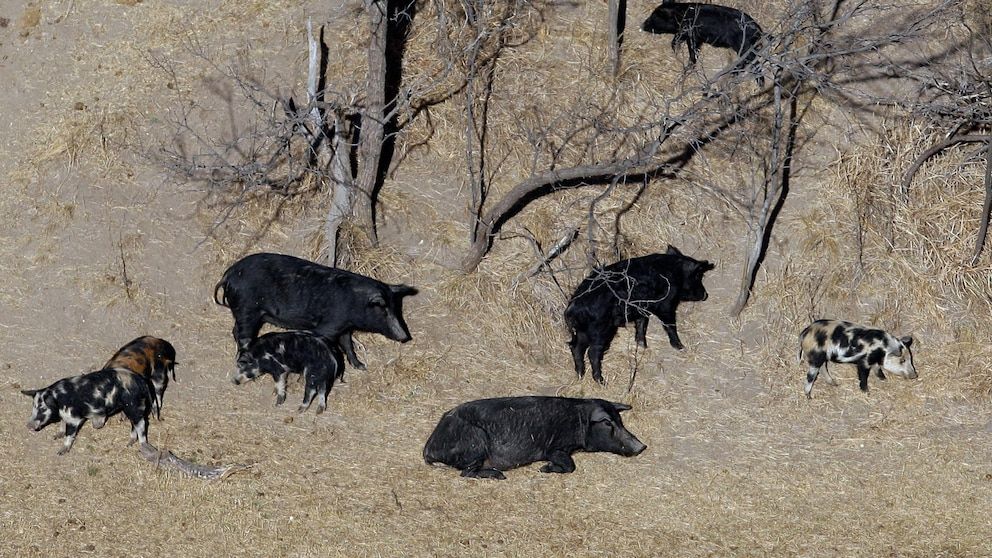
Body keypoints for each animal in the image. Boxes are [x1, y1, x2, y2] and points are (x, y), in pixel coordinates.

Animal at [20, 370, 153, 458]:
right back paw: (129, 444)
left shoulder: (74, 419)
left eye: (42, 408)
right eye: (33, 407)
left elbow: (69, 434)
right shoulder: (66, 416)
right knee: (135, 423)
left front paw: (61, 452)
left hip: (133, 405)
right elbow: (62, 424)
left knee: (141, 424)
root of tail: (141, 382)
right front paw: (57, 435)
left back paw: (142, 446)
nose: (28, 425)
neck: (59, 399)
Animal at [213, 254, 418, 372]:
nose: (405, 336)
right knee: (243, 336)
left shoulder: (344, 327)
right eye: (383, 310)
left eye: (396, 309)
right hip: (247, 310)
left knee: (235, 331)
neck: (354, 303)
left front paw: (361, 367)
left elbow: (348, 345)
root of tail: (228, 274)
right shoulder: (328, 326)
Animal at [422, 398, 648, 482]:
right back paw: (499, 475)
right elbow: (570, 465)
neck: (579, 421)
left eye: (620, 420)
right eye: (608, 423)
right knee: (466, 473)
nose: (642, 446)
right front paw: (544, 469)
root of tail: (428, 448)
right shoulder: (554, 447)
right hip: (476, 441)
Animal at [564, 246, 712, 384]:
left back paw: (580, 375)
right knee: (592, 352)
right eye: (698, 276)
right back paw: (602, 381)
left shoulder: (642, 308)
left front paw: (643, 346)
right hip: (600, 330)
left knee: (575, 347)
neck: (675, 273)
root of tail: (574, 306)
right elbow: (669, 325)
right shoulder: (666, 305)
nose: (705, 295)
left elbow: (641, 324)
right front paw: (681, 347)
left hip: (583, 331)